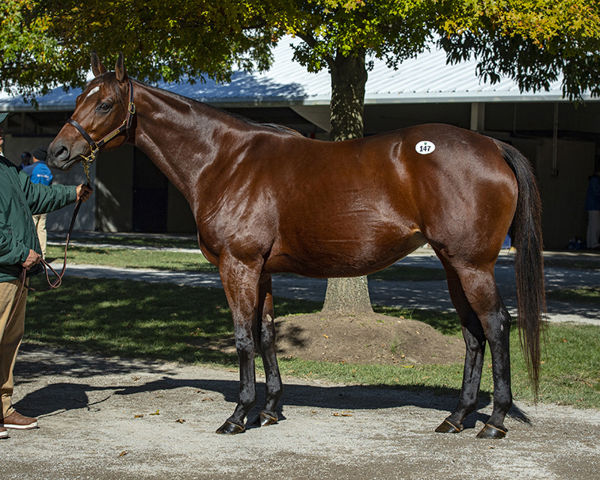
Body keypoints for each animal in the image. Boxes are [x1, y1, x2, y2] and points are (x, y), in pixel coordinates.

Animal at [48, 53, 544, 438]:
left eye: (105, 103)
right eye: (78, 98)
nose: (57, 152)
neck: (226, 161)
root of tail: (492, 145)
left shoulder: (238, 265)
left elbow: (243, 338)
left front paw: (237, 416)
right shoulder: (262, 269)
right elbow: (267, 334)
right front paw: (268, 410)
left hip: (471, 264)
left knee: (496, 326)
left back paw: (494, 422)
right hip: (452, 264)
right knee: (473, 333)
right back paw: (457, 417)